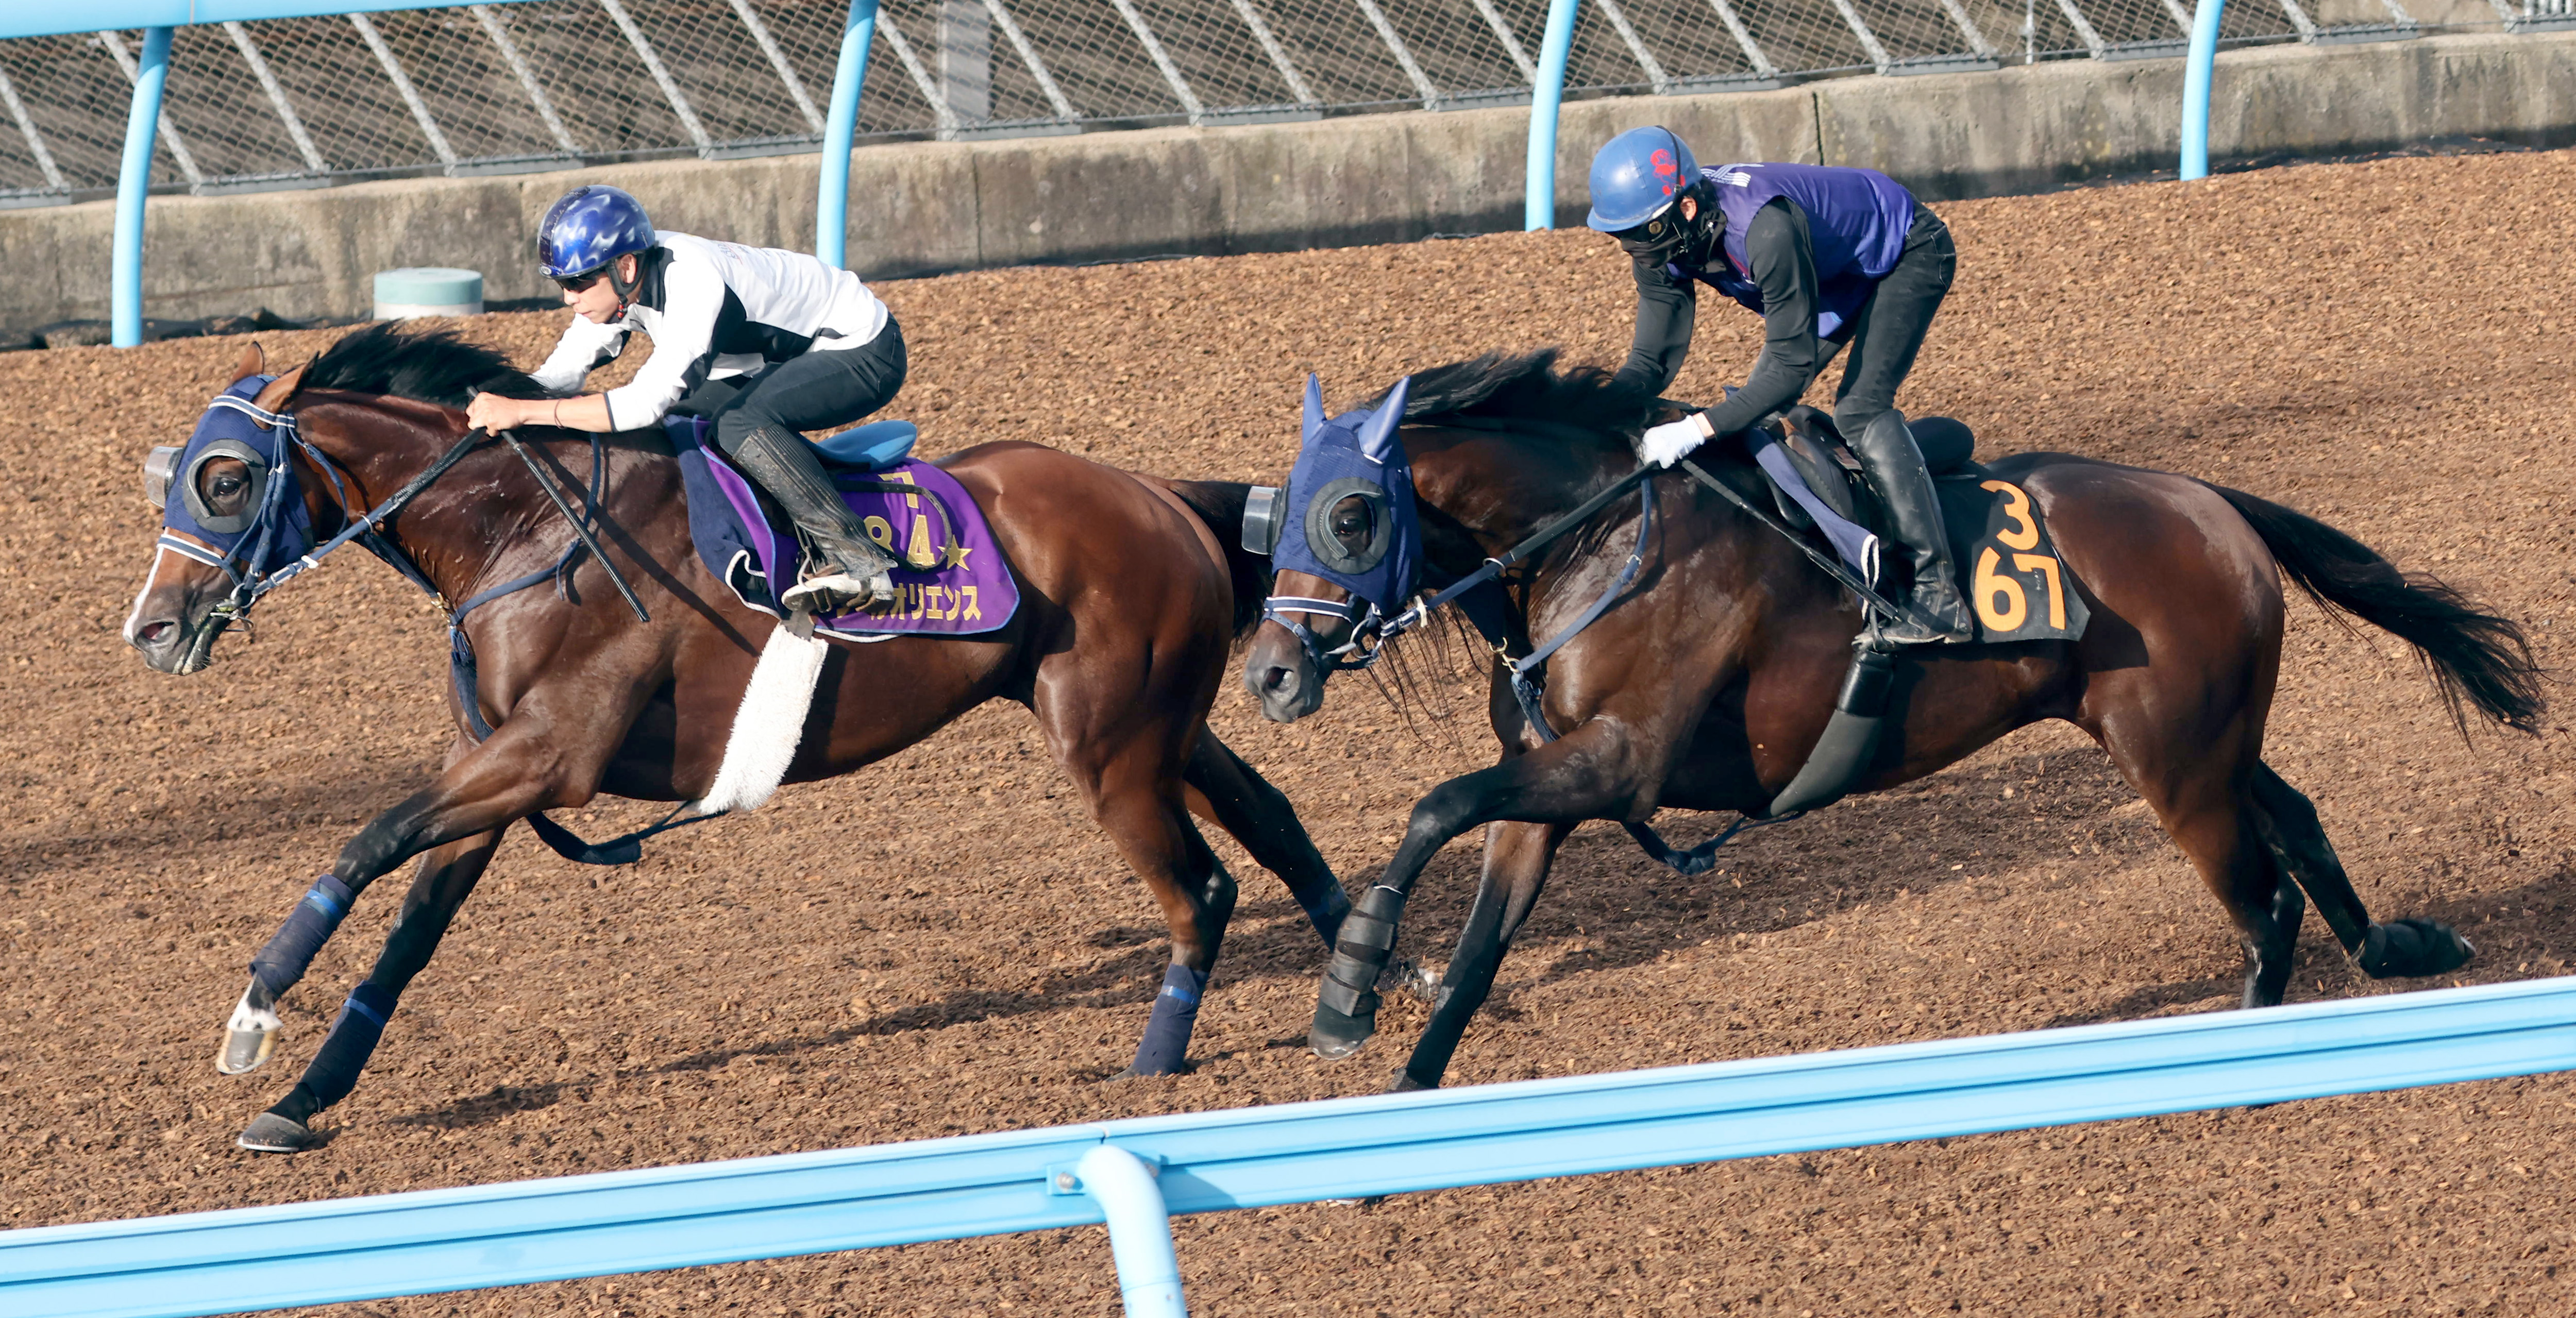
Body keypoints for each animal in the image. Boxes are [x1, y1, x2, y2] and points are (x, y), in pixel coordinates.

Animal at [128, 329, 1339, 1153]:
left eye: (226, 477)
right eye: (174, 469)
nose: (153, 627)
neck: (527, 525)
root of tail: (1161, 497)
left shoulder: (547, 756)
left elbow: (365, 841)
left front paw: (253, 1017)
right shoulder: (500, 767)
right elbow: (412, 928)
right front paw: (301, 1098)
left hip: (1110, 750)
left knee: (1199, 888)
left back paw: (1152, 1069)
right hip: (1156, 729)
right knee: (1268, 823)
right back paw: (1368, 977)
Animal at [1241, 350, 2535, 1091]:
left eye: (1351, 514)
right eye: (1270, 511)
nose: (1268, 673)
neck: (1594, 532)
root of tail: (2208, 500)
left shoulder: (1619, 764)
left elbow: (1433, 802)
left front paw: (1348, 987)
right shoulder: (1551, 784)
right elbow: (1473, 949)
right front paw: (1393, 1075)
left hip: (2175, 763)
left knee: (2262, 906)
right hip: (2202, 741)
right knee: (2299, 821)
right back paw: (2400, 945)